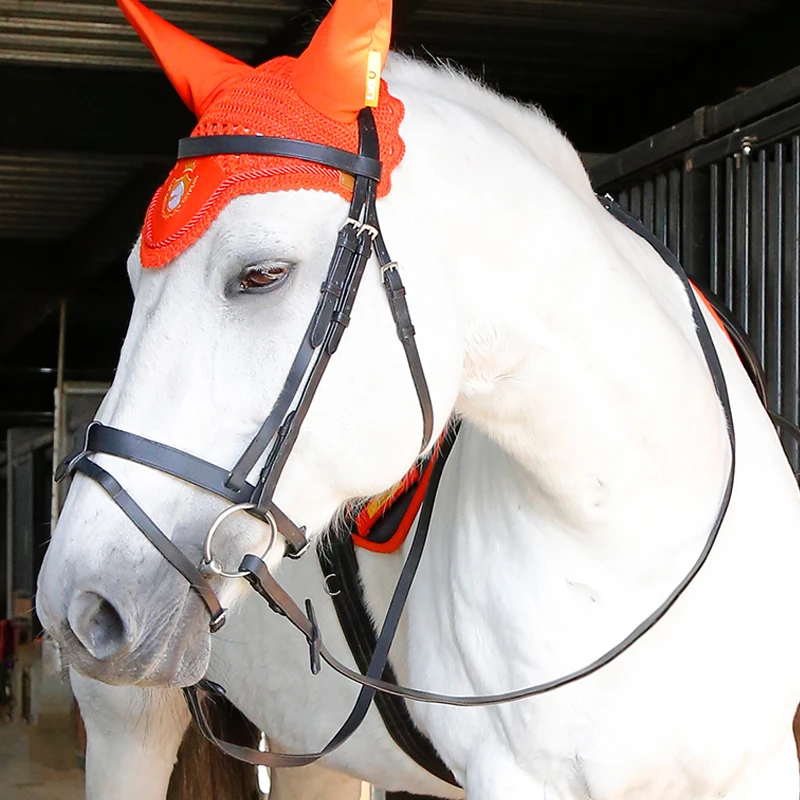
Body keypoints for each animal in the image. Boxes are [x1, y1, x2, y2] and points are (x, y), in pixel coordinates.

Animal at [39, 1, 800, 792]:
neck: (632, 536)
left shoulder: (767, 767)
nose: (79, 603)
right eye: (134, 279)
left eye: (262, 274)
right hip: (127, 730)